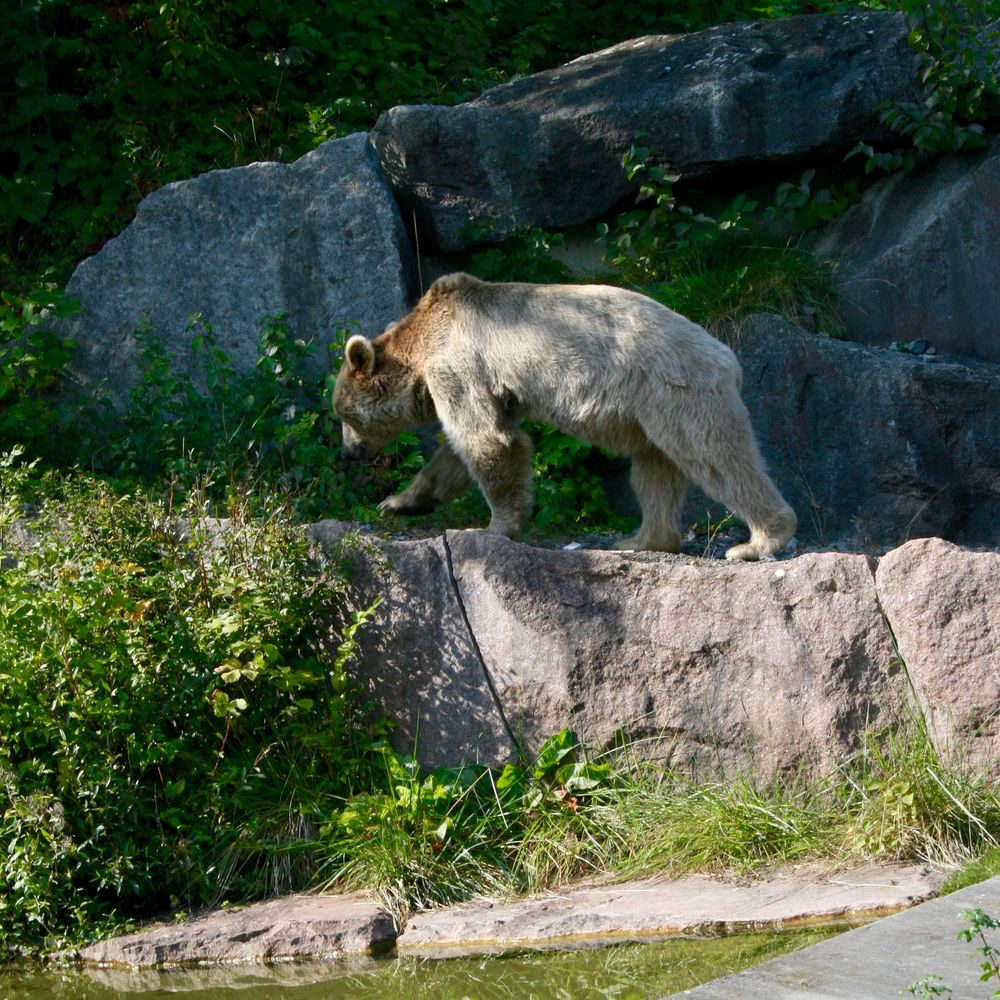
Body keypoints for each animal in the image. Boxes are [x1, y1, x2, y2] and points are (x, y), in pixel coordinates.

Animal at [336, 270, 796, 560]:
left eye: (344, 414)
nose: (349, 453)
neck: (421, 342)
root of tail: (728, 358)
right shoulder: (487, 387)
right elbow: (458, 452)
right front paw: (399, 501)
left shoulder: (459, 363)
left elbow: (486, 439)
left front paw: (491, 528)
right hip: (650, 412)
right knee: (654, 470)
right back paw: (642, 539)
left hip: (677, 389)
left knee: (715, 456)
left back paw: (760, 541)